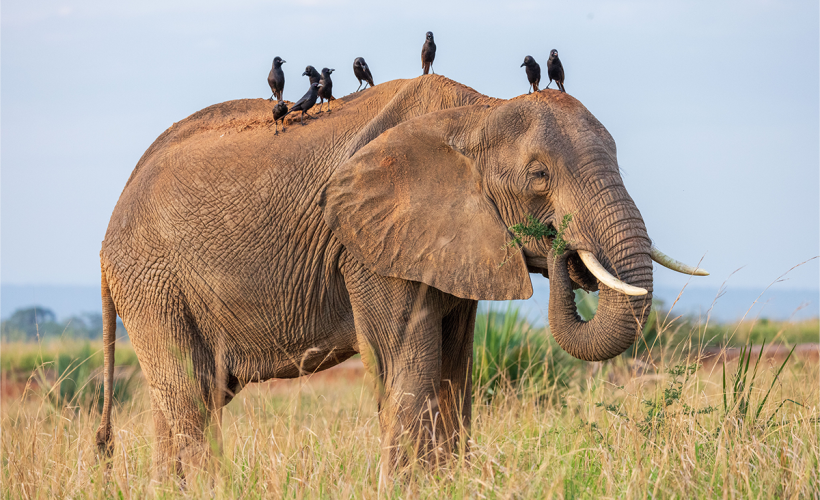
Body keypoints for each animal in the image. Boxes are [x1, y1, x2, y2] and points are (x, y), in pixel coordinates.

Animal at [94, 75, 707, 482]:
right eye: (539, 176)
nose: (558, 242)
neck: (477, 112)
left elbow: (453, 370)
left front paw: (450, 485)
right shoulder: (368, 245)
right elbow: (405, 363)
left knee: (182, 398)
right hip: (151, 279)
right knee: (191, 396)